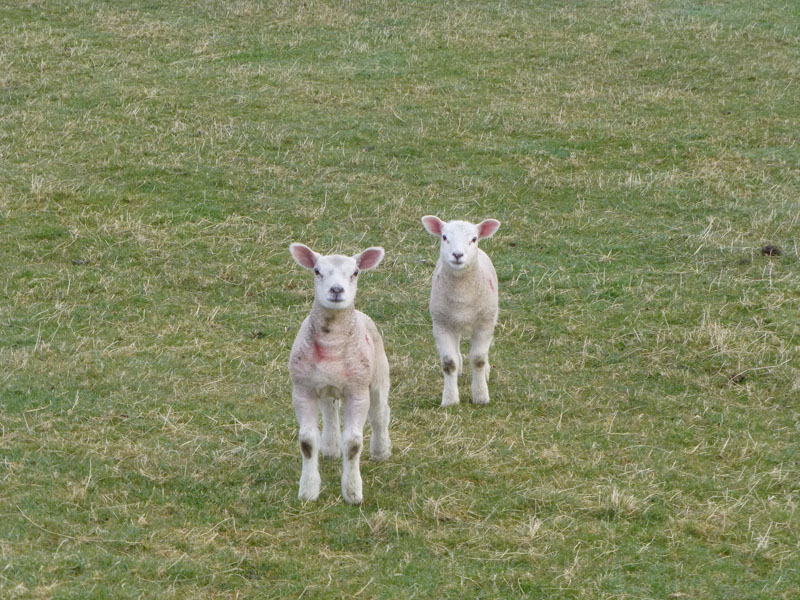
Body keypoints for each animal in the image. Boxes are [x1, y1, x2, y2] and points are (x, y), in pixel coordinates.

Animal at [288, 241, 390, 504]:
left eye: (355, 272)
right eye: (317, 271)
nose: (336, 290)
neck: (331, 346)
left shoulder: (358, 392)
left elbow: (353, 444)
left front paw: (353, 493)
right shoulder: (302, 390)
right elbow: (307, 442)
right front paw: (308, 491)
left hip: (378, 376)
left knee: (380, 414)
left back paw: (381, 450)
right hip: (326, 386)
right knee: (330, 411)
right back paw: (331, 448)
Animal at [418, 216, 500, 408]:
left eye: (474, 239)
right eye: (444, 237)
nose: (457, 255)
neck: (462, 299)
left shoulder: (484, 324)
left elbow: (478, 360)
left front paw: (481, 396)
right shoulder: (441, 325)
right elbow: (449, 363)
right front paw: (450, 400)